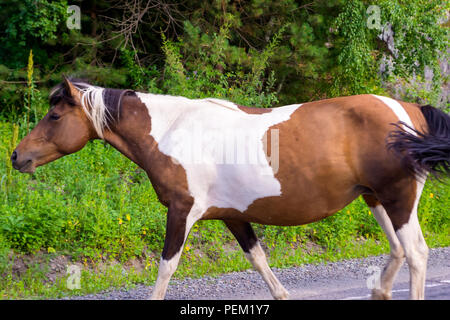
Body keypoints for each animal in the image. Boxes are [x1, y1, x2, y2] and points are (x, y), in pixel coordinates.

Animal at [11, 77, 450, 300]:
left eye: (54, 116)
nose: (17, 156)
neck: (171, 131)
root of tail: (409, 110)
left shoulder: (181, 211)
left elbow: (166, 267)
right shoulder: (233, 217)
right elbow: (260, 263)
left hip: (398, 199)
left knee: (416, 253)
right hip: (376, 199)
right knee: (398, 251)